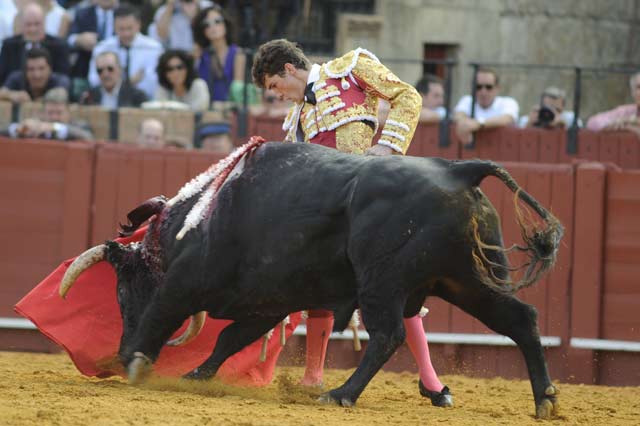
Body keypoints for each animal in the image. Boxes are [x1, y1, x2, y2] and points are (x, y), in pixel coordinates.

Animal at [57, 143, 564, 420]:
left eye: (122, 291)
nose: (118, 349)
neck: (200, 218)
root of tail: (459, 170)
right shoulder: (266, 302)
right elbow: (229, 340)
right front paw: (195, 376)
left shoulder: (186, 280)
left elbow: (163, 311)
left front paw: (137, 362)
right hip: (467, 281)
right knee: (521, 319)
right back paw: (544, 400)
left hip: (383, 281)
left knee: (389, 334)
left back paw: (339, 395)